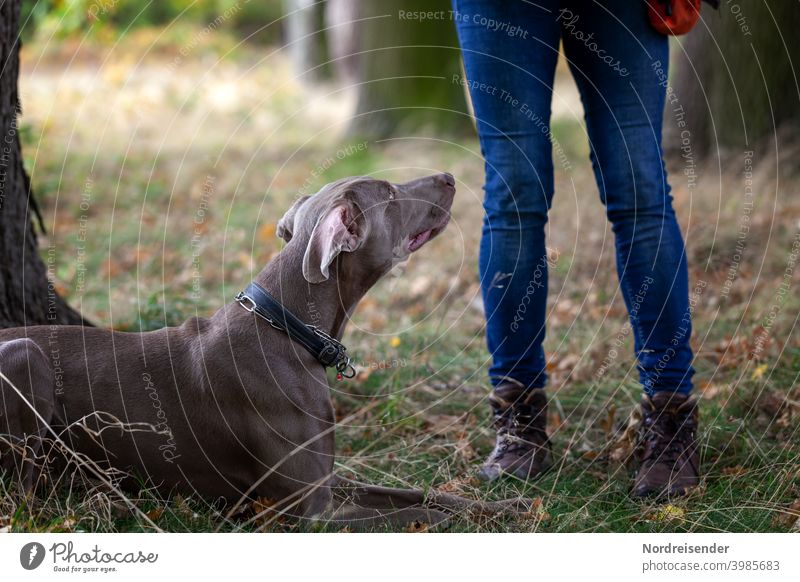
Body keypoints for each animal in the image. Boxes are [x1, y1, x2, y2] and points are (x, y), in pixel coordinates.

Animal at [0, 173, 528, 528]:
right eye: (392, 194)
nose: (450, 176)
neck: (289, 330)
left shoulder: (328, 479)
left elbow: (428, 495)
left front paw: (508, 504)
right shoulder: (307, 513)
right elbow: (414, 518)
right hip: (25, 356)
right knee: (23, 499)